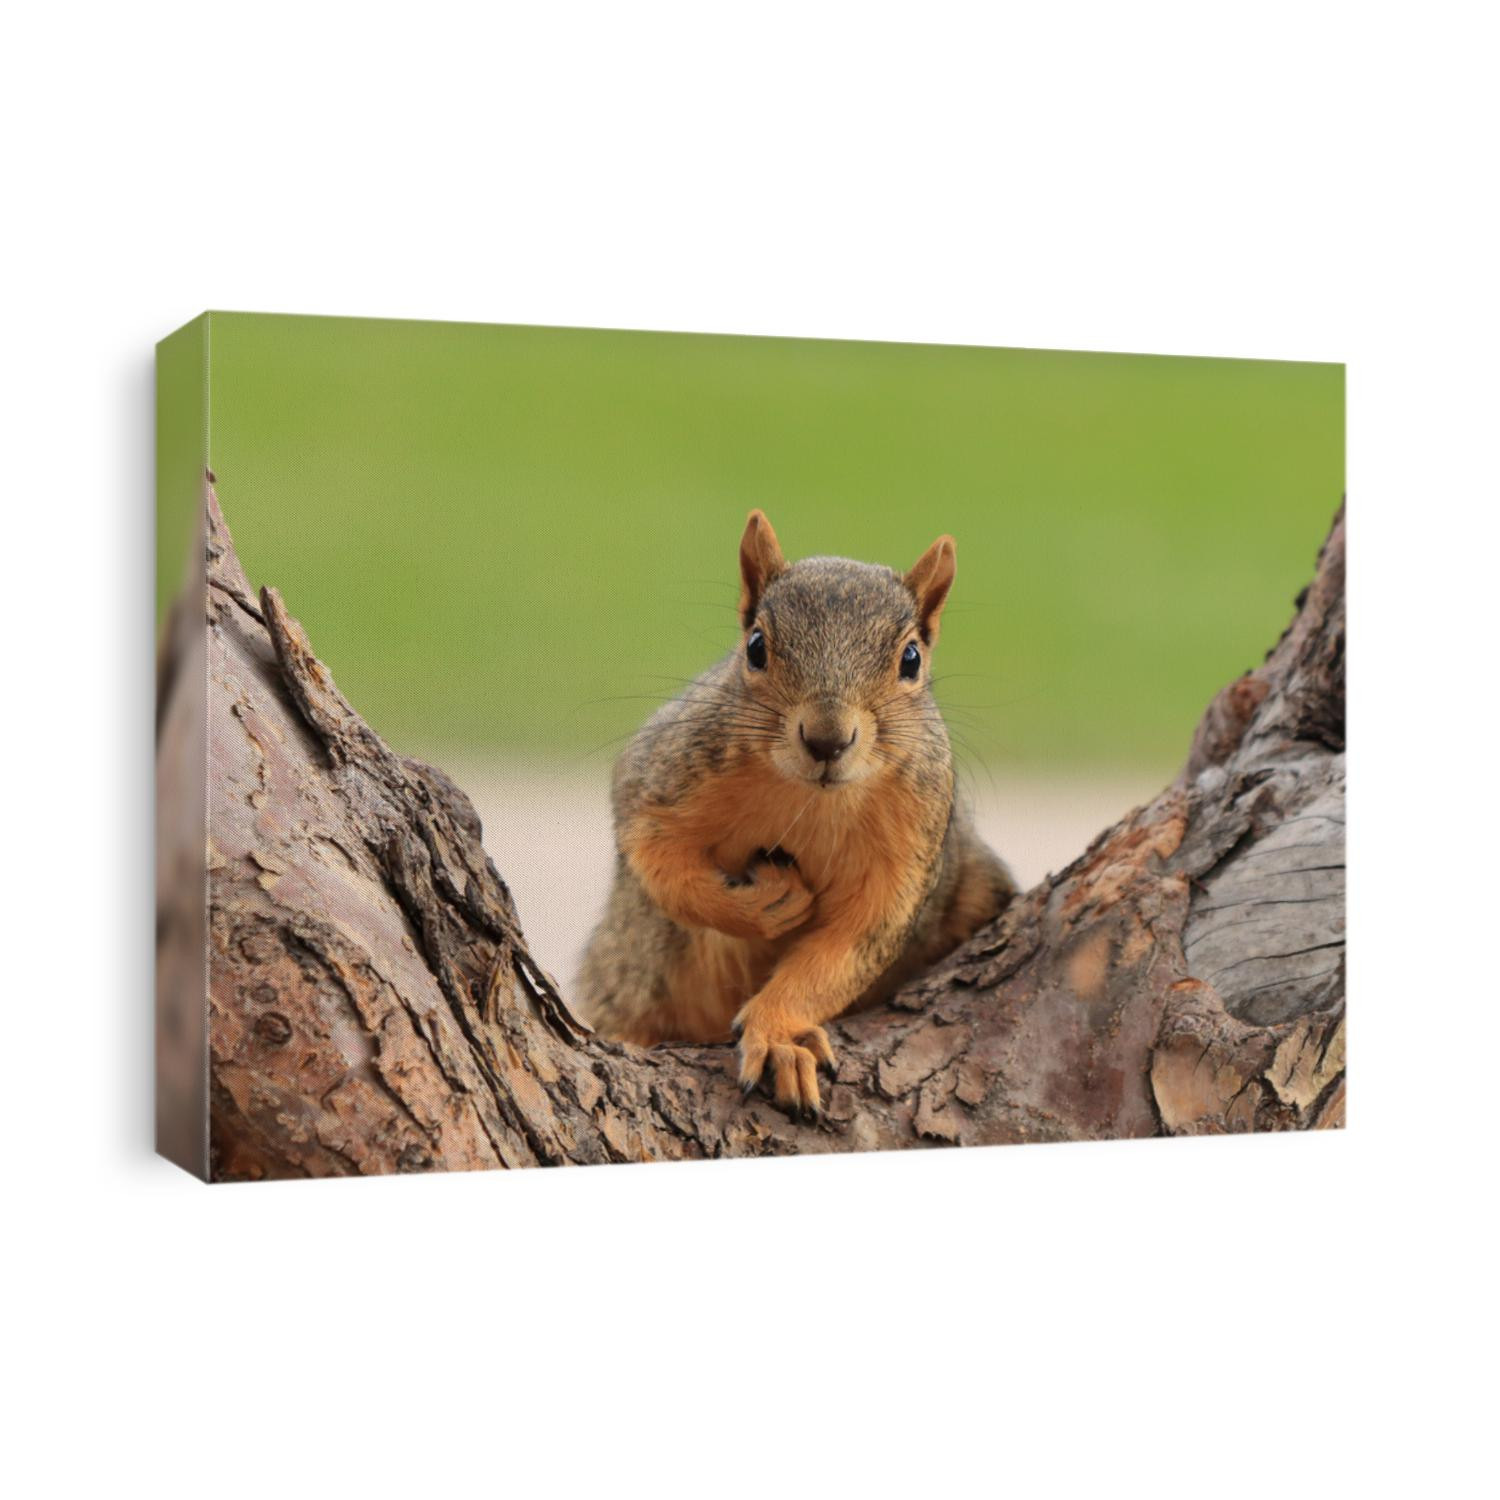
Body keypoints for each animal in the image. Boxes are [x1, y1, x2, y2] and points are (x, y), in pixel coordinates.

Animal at [576, 510, 1016, 1116]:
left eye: (911, 660)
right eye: (756, 647)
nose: (827, 740)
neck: (811, 800)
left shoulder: (911, 848)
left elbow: (848, 948)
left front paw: (779, 1034)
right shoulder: (663, 774)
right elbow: (657, 859)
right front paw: (761, 905)